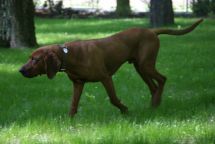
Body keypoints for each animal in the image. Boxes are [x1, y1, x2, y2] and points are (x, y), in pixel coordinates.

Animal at [19, 19, 202, 116]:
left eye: (35, 59)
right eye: (29, 58)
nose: (20, 70)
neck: (67, 55)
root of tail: (151, 31)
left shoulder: (105, 77)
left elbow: (113, 99)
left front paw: (125, 110)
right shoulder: (78, 83)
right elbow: (73, 104)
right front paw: (68, 123)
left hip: (145, 65)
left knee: (162, 79)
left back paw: (156, 103)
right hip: (140, 67)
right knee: (154, 86)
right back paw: (154, 105)